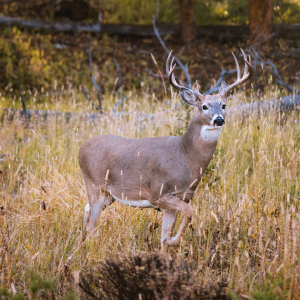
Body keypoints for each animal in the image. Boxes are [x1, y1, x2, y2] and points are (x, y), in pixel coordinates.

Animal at [78, 48, 252, 251]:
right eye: (204, 106)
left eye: (224, 105)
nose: (219, 119)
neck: (185, 156)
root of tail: (81, 148)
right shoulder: (158, 193)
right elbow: (189, 213)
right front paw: (173, 241)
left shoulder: (182, 196)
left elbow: (165, 233)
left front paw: (165, 250)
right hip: (94, 184)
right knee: (92, 223)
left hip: (108, 194)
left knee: (86, 212)